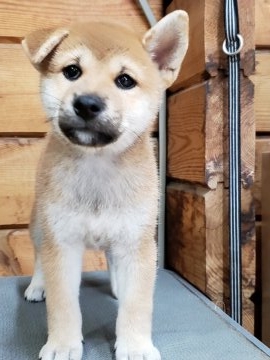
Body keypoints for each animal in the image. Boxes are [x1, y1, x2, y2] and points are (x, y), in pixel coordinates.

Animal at [22, 10, 189, 360]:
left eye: (125, 80)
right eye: (72, 71)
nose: (87, 103)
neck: (98, 168)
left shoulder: (136, 242)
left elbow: (137, 304)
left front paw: (135, 345)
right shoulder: (63, 243)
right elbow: (63, 305)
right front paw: (62, 344)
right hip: (41, 225)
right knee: (40, 256)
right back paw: (38, 284)